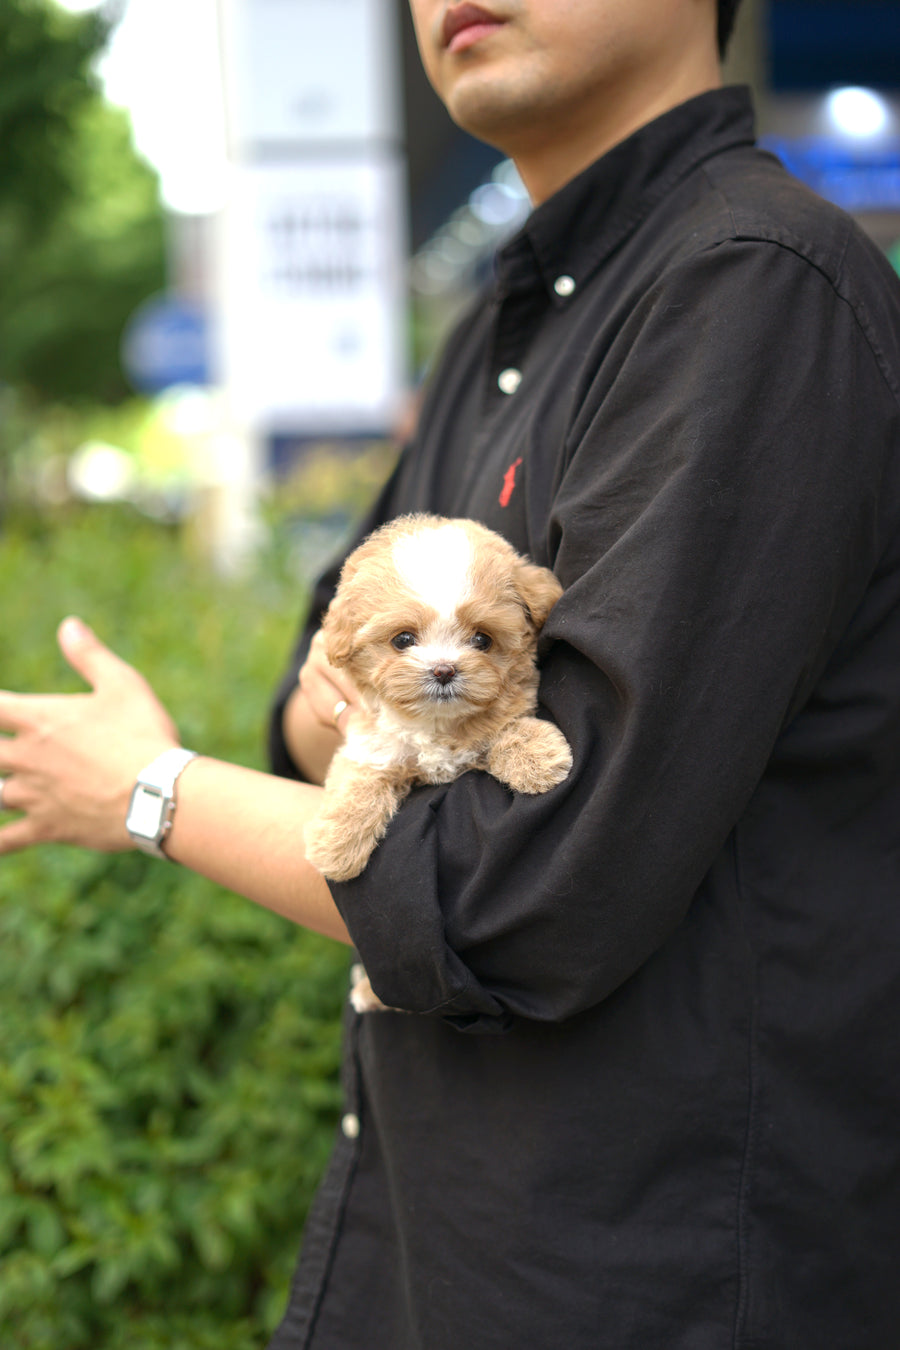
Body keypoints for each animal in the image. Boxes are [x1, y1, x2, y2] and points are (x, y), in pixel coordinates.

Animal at [302, 507, 569, 896]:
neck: (436, 722)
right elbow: (360, 775)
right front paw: (335, 845)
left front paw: (538, 758)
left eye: (482, 639)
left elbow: (508, 726)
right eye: (403, 639)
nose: (444, 670)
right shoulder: (373, 740)